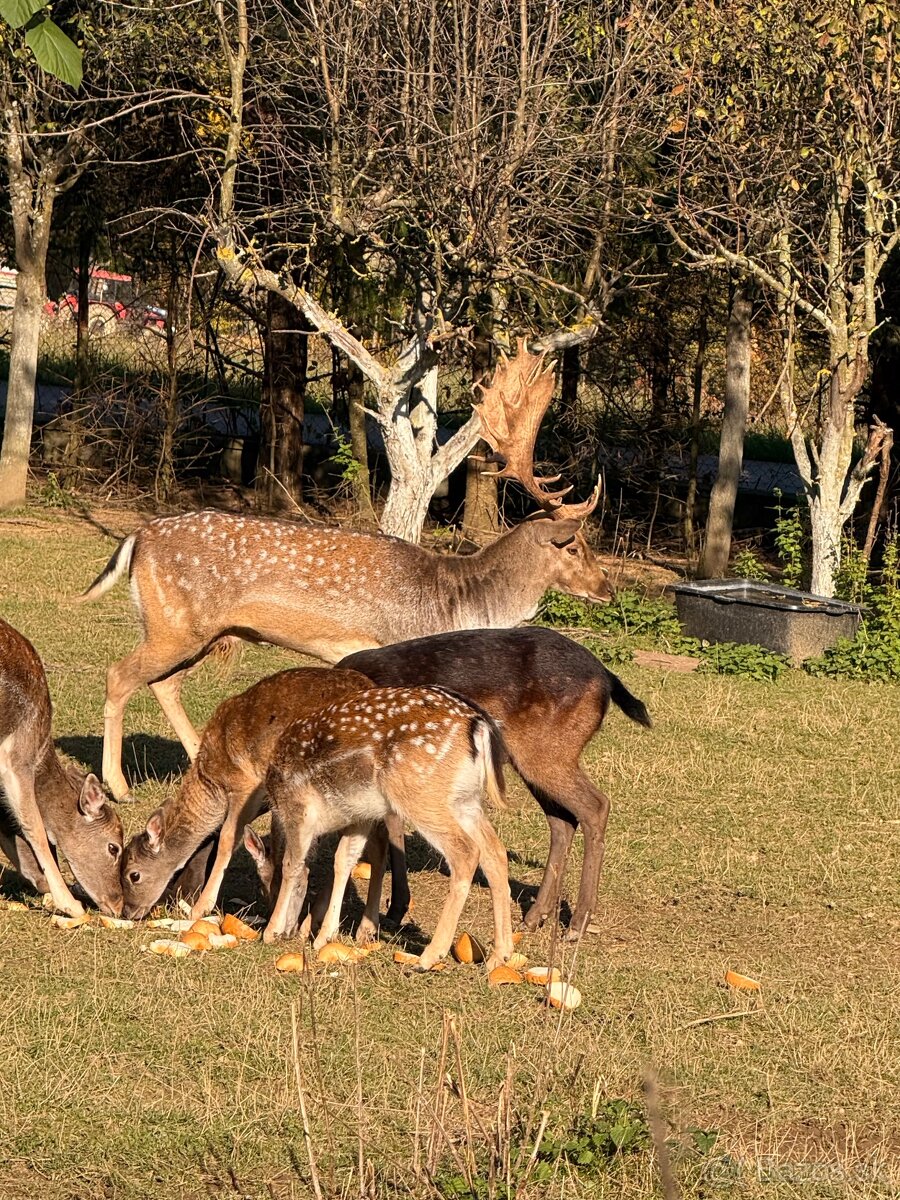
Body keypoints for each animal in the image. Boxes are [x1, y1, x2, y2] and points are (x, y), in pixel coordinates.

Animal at [79, 343, 614, 801]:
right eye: (576, 546)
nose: (607, 588)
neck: (459, 601)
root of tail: (137, 539)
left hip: (203, 631)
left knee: (163, 683)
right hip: (174, 623)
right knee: (119, 674)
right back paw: (118, 786)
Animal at [120, 667, 374, 916]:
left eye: (134, 875)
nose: (128, 912)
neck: (214, 784)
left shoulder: (245, 784)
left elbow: (228, 837)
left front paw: (201, 907)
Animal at [262, 681, 513, 969]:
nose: (286, 931)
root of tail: (478, 726)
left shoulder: (298, 810)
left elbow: (292, 865)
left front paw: (271, 931)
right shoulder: (360, 815)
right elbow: (342, 859)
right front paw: (324, 936)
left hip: (419, 793)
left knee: (466, 852)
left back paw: (428, 956)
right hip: (464, 801)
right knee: (495, 852)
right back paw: (500, 954)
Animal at [340, 624, 652, 940]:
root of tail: (607, 678)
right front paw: (395, 910)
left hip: (546, 753)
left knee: (595, 806)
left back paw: (577, 924)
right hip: (533, 756)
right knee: (562, 819)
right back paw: (536, 916)